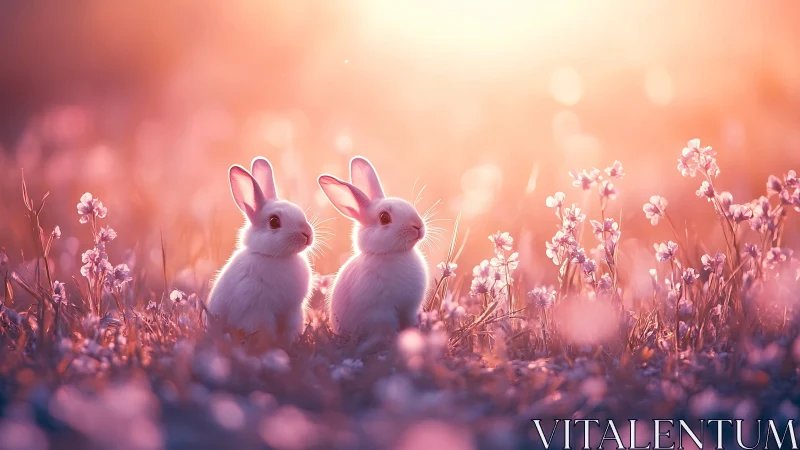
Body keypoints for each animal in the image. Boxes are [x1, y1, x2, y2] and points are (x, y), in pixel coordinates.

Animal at [318, 156, 429, 346]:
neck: (393, 254)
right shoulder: (381, 312)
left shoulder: (410, 309)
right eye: (384, 218)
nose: (418, 226)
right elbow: (386, 329)